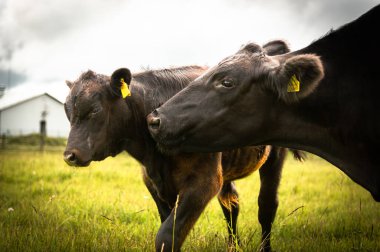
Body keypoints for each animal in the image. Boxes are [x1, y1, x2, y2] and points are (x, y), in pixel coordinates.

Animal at [64, 61, 302, 250]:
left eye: (95, 109)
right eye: (68, 112)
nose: (69, 156)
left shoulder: (203, 182)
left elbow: (166, 236)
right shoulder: (152, 182)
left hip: (274, 158)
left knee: (266, 207)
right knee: (231, 204)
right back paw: (233, 246)